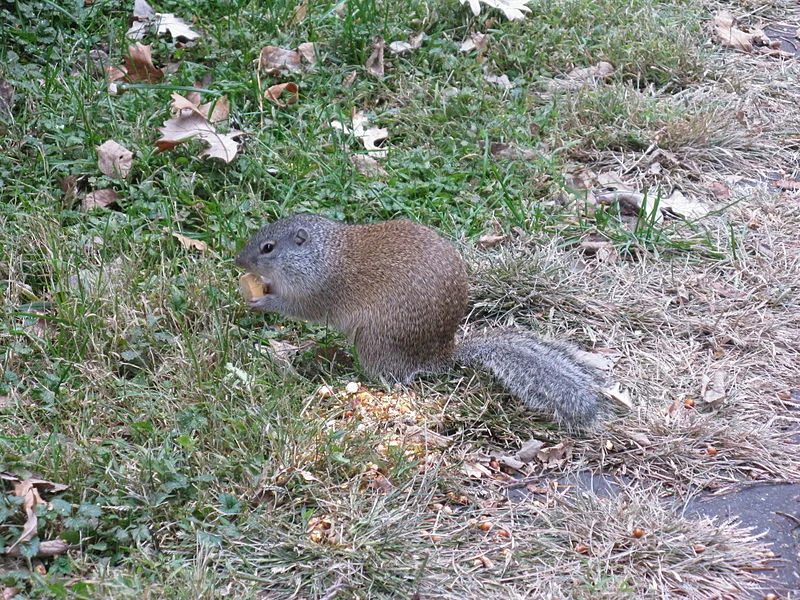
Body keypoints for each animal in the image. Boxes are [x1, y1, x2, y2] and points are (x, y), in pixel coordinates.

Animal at [234, 213, 604, 428]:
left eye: (268, 247)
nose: (237, 260)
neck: (322, 255)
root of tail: (440, 356)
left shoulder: (319, 291)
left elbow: (297, 307)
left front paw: (263, 300)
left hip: (373, 341)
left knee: (393, 378)